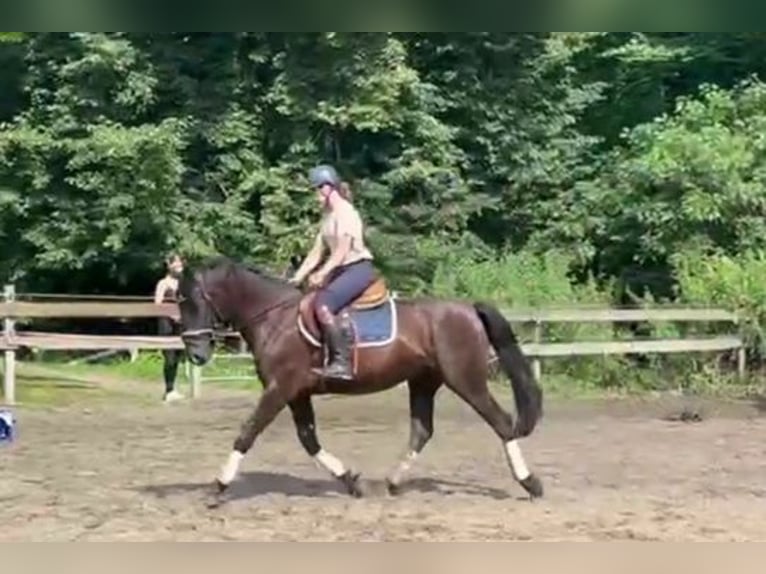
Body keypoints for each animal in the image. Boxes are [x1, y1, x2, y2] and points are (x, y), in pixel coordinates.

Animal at [176, 256, 544, 504]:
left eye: (193, 301)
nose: (196, 355)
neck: (276, 318)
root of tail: (467, 309)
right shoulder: (296, 393)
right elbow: (309, 440)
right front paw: (352, 481)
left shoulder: (280, 388)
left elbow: (247, 432)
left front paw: (218, 486)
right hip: (424, 382)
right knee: (422, 430)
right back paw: (392, 483)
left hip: (466, 380)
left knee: (502, 423)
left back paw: (531, 484)